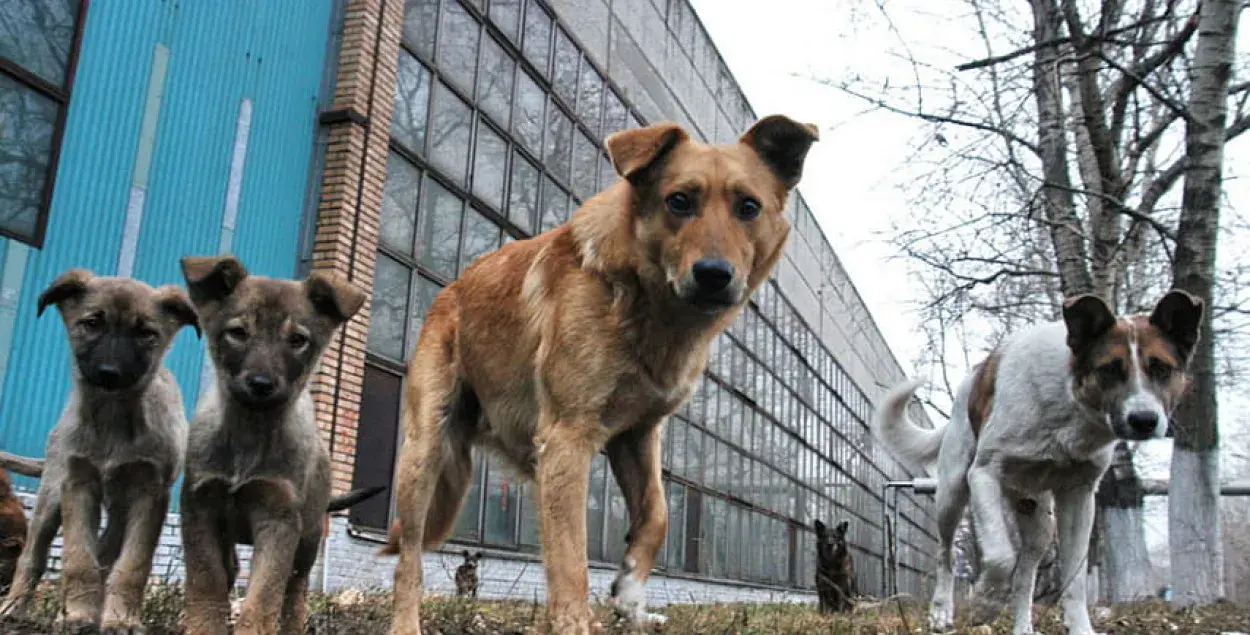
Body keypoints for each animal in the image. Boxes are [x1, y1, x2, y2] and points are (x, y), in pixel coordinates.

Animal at [0, 267, 197, 630]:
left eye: (146, 333)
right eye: (92, 323)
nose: (109, 373)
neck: (113, 420)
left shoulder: (149, 493)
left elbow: (133, 563)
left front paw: (120, 620)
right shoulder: (77, 484)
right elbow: (78, 557)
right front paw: (77, 614)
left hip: (121, 509)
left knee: (108, 551)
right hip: (51, 494)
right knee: (33, 555)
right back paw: (15, 607)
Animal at [178, 256, 367, 635]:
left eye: (297, 340)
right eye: (238, 333)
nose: (261, 384)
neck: (250, 431)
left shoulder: (279, 519)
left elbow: (263, 599)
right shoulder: (199, 506)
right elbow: (207, 584)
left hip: (308, 538)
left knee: (295, 594)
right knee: (231, 572)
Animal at [382, 115, 820, 635]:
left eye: (748, 207)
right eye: (679, 201)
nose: (714, 274)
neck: (645, 302)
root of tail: (449, 291)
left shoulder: (637, 435)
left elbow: (657, 513)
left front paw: (630, 595)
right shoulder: (568, 440)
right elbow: (571, 560)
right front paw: (580, 618)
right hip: (425, 452)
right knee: (409, 557)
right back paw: (405, 622)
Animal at [875, 292, 1205, 635]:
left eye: (1161, 368)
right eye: (1110, 369)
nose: (1143, 421)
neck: (1069, 401)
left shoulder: (1078, 497)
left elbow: (1074, 579)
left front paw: (1080, 627)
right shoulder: (983, 474)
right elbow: (1000, 556)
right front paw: (984, 603)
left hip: (1038, 520)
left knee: (1025, 575)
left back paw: (1022, 626)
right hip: (952, 493)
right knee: (946, 554)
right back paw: (941, 611)